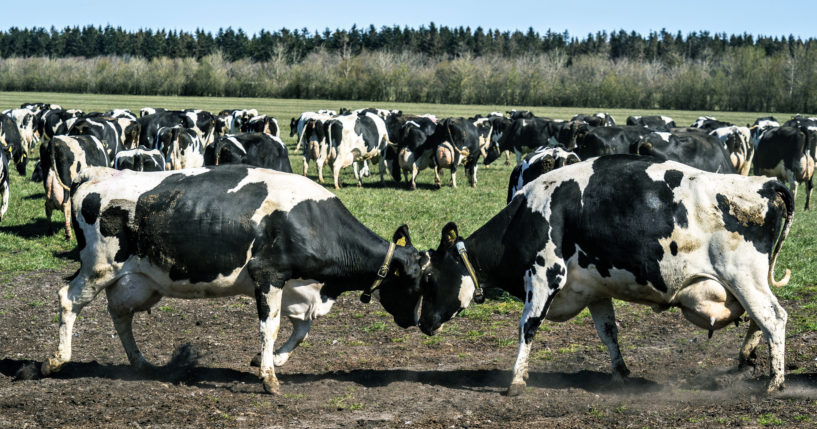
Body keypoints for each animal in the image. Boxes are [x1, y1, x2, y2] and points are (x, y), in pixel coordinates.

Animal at [41, 165, 428, 394]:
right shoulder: (268, 275)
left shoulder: (298, 288)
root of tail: (95, 174)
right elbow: (270, 326)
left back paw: (140, 363)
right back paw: (56, 360)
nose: (423, 323)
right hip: (99, 268)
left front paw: (271, 361)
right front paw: (269, 377)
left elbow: (301, 330)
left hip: (135, 281)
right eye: (418, 281)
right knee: (67, 299)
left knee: (120, 315)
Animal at [414, 153, 792, 394]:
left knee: (773, 317)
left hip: (742, 277)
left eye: (429, 279)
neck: (528, 215)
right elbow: (608, 332)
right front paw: (621, 372)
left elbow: (527, 327)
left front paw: (516, 381)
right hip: (746, 282)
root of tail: (764, 184)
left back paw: (775, 382)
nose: (422, 324)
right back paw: (748, 358)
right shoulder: (594, 290)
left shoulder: (544, 275)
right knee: (761, 320)